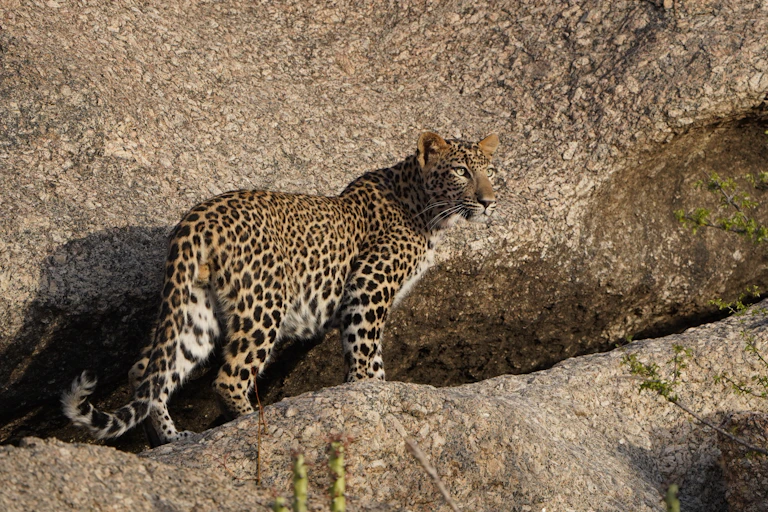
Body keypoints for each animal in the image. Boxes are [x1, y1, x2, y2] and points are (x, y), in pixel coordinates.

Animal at [62, 131, 499, 445]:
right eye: (461, 171)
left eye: (489, 171)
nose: (488, 201)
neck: (426, 210)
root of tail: (195, 219)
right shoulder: (368, 287)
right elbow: (364, 351)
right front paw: (367, 392)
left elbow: (372, 355)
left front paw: (376, 393)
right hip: (264, 301)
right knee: (228, 377)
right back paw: (253, 424)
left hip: (194, 308)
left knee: (147, 370)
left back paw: (171, 438)